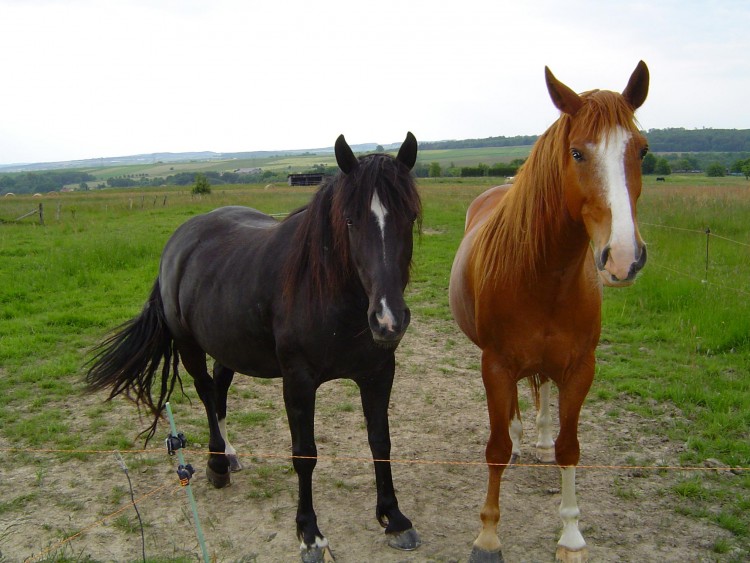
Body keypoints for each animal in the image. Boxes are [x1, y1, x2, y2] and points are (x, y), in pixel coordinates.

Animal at [452, 62, 652, 563]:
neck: (544, 273)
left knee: (542, 391)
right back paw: (523, 439)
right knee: (516, 408)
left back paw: (538, 438)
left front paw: (572, 535)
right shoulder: (496, 365)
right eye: (577, 152)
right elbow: (496, 445)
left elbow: (569, 447)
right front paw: (488, 536)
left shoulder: (581, 368)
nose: (624, 258)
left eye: (642, 150)